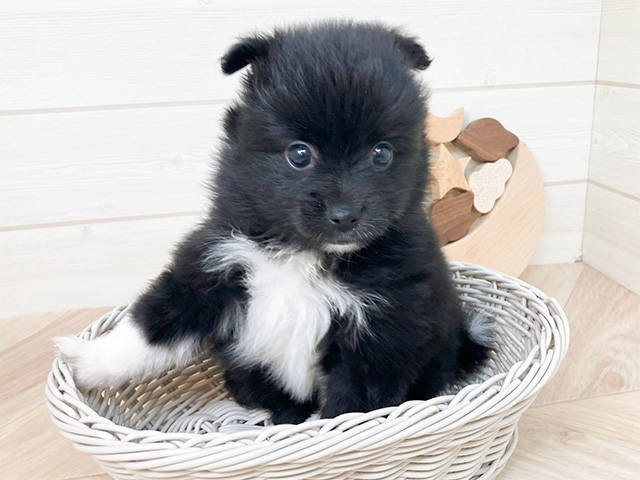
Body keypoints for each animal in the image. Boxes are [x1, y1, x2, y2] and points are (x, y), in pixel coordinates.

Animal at [56, 21, 495, 425]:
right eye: (299, 155)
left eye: (382, 154)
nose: (345, 215)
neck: (302, 254)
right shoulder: (213, 266)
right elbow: (153, 326)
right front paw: (88, 362)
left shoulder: (385, 326)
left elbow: (353, 406)